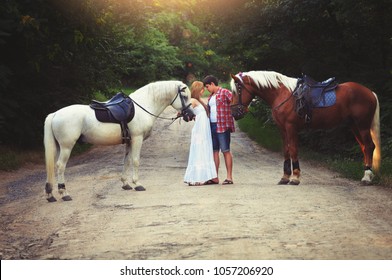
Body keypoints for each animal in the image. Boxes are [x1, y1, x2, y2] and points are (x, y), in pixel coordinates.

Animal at [44, 80, 194, 201]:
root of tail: (55, 114)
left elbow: (126, 161)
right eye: (185, 96)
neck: (143, 105)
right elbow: (135, 161)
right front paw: (137, 184)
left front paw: (125, 184)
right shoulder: (137, 139)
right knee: (60, 166)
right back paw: (64, 194)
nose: (191, 115)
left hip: (58, 147)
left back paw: (50, 195)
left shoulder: (129, 141)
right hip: (66, 147)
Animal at [230, 71, 380, 185]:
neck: (282, 93)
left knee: (369, 146)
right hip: (355, 126)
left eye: (236, 91)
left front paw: (295, 178)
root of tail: (370, 92)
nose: (234, 113)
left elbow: (293, 150)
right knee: (364, 148)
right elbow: (286, 151)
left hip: (363, 126)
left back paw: (367, 177)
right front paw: (285, 177)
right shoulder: (282, 129)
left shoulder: (291, 127)